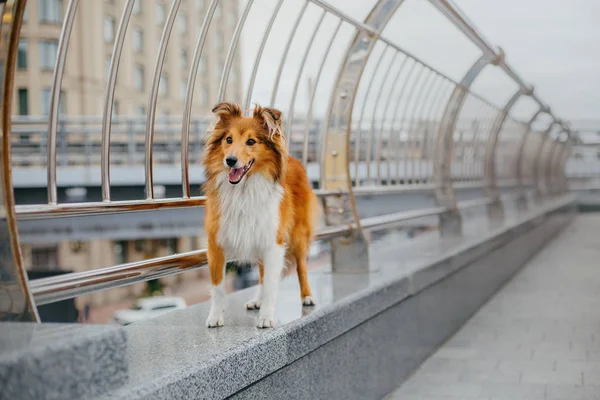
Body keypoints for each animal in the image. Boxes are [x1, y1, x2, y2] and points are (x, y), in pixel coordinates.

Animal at [203, 102, 316, 328]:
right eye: (228, 139)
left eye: (251, 141)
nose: (230, 161)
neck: (243, 189)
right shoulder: (216, 242)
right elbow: (218, 286)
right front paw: (215, 317)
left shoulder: (274, 242)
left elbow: (272, 283)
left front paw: (266, 317)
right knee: (262, 274)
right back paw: (257, 300)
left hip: (297, 234)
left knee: (301, 266)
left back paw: (307, 296)